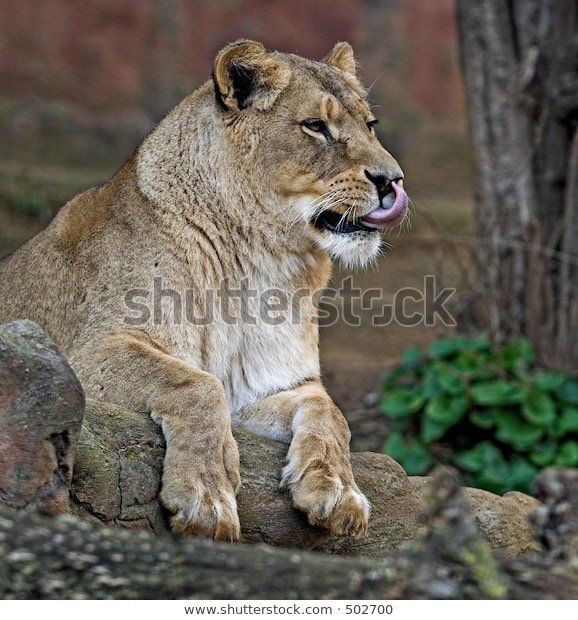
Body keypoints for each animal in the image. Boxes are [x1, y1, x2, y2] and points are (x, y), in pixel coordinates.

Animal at [0, 40, 404, 544]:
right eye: (316, 126)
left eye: (370, 125)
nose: (393, 180)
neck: (261, 262)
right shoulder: (84, 352)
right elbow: (197, 384)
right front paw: (206, 499)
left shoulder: (266, 385)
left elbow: (330, 410)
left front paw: (337, 491)